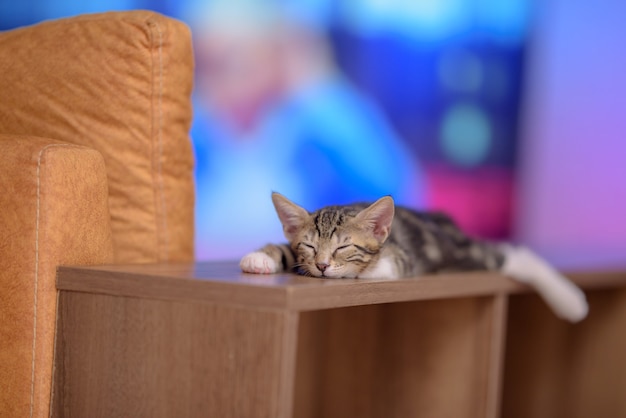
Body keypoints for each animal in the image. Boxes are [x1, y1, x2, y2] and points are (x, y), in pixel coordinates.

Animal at [239, 193, 584, 324]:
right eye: (309, 246)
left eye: (343, 247)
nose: (322, 265)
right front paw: (261, 257)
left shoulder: (398, 259)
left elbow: (369, 267)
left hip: (463, 254)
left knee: (512, 254)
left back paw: (571, 301)